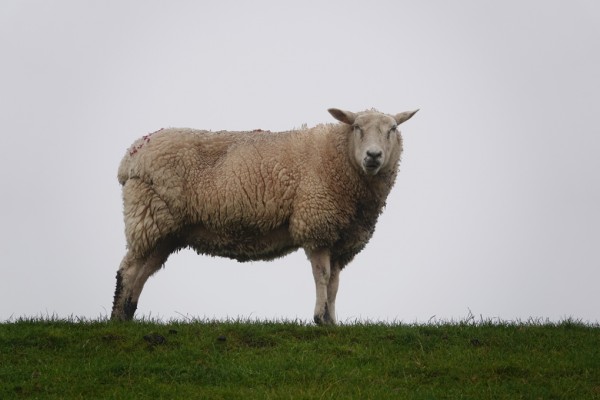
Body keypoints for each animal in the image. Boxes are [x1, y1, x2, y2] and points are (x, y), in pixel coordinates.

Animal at [112, 107, 420, 324]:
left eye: (392, 129)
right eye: (356, 127)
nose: (373, 156)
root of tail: (130, 156)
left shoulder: (342, 238)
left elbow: (334, 283)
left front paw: (333, 321)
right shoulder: (316, 224)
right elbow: (321, 276)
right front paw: (320, 319)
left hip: (166, 230)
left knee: (144, 270)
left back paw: (128, 314)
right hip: (147, 213)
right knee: (129, 269)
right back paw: (117, 317)